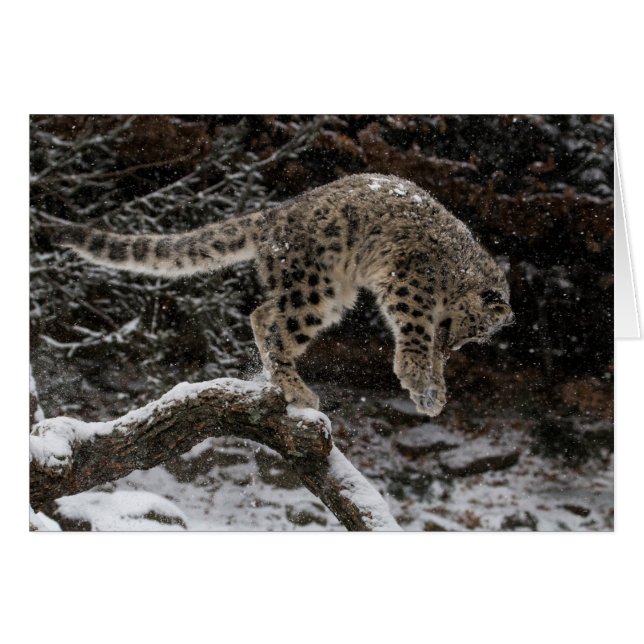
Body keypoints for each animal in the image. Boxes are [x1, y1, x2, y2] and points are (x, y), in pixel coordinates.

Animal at [54, 173, 514, 416]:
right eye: (477, 329)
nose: (457, 345)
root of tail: (274, 215)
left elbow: (430, 354)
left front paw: (433, 393)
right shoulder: (412, 288)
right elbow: (416, 334)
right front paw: (418, 378)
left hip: (331, 294)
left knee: (264, 315)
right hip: (314, 287)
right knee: (273, 324)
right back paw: (296, 389)